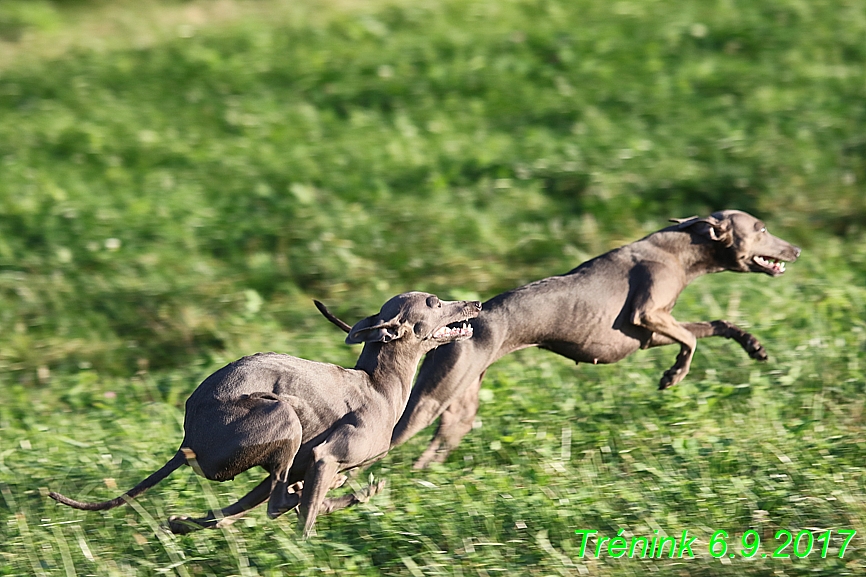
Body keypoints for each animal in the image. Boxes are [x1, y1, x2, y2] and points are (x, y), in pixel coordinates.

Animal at [49, 292, 480, 536]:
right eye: (435, 302)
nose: (475, 303)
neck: (377, 384)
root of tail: (189, 440)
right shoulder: (325, 456)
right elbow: (305, 519)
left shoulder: (310, 463)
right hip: (283, 416)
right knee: (274, 504)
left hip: (276, 455)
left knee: (228, 512)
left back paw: (180, 524)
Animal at [316, 210, 796, 468]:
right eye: (761, 227)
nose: (795, 250)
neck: (678, 248)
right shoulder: (649, 315)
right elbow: (691, 342)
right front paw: (673, 376)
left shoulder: (646, 334)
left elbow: (715, 325)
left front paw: (753, 345)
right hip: (430, 400)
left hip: (460, 406)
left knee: (433, 449)